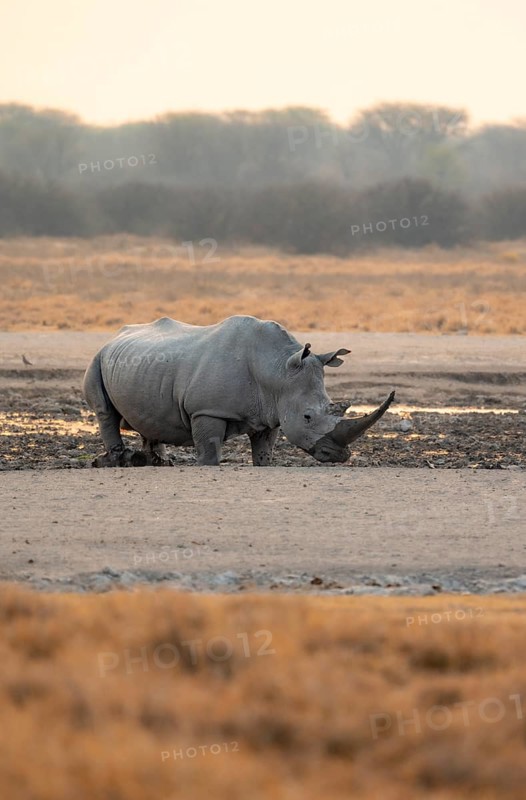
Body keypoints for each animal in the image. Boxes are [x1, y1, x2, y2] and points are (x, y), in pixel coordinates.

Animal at [83, 315, 395, 467]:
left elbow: (264, 451)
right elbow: (210, 451)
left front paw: (263, 464)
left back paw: (159, 462)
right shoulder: (206, 410)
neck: (277, 370)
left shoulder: (271, 413)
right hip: (97, 358)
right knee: (105, 411)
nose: (340, 455)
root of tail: (115, 336)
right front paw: (206, 466)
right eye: (307, 417)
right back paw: (118, 461)